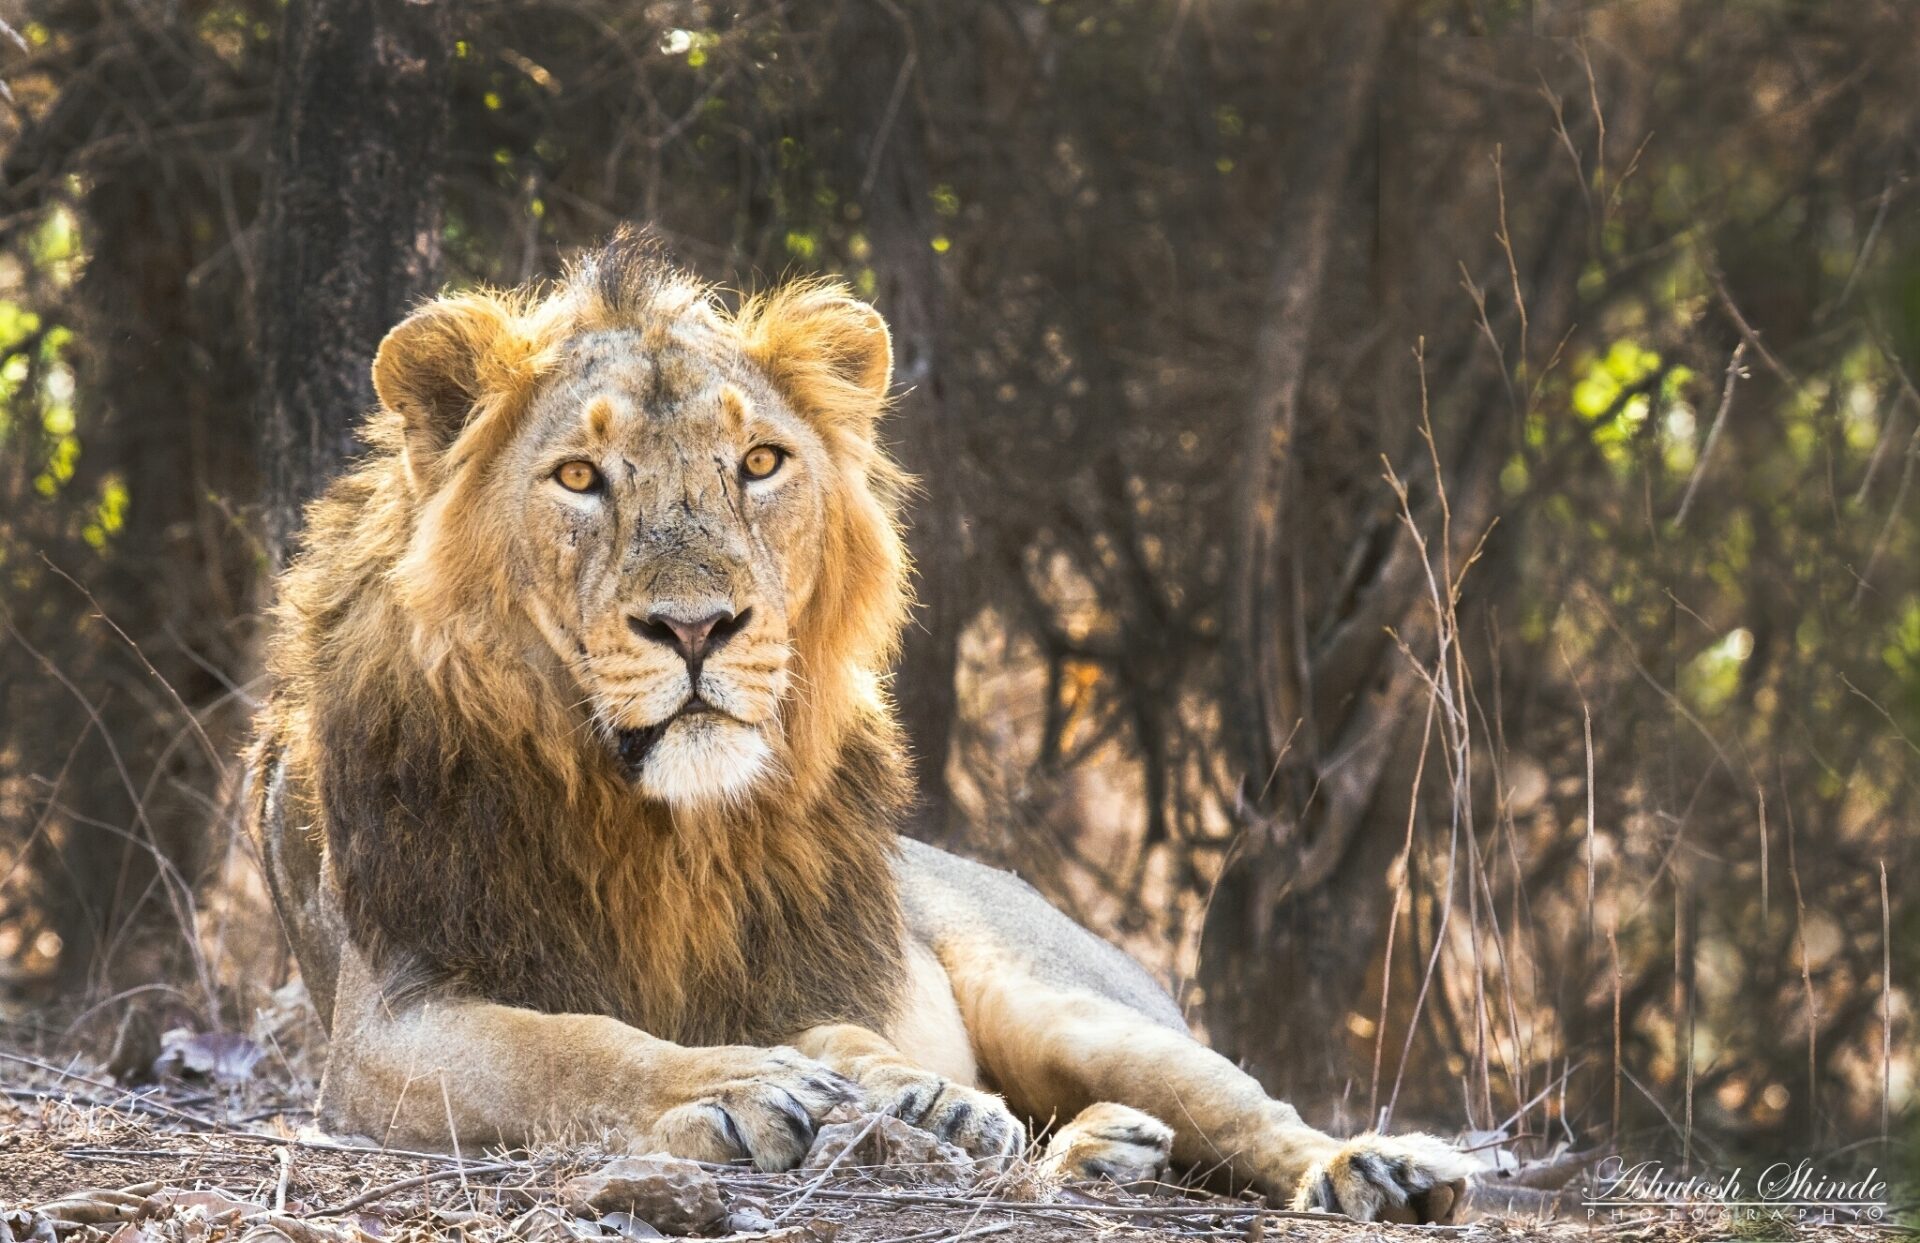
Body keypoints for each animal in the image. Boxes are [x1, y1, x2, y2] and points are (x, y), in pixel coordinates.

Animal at [245, 229, 1476, 1223]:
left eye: (759, 463)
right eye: (580, 477)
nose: (696, 626)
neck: (655, 821)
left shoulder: (797, 969)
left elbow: (832, 1031)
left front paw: (892, 1089)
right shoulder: (385, 1022)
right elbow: (573, 1047)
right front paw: (737, 1084)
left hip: (1078, 1005)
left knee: (1246, 1107)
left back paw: (1370, 1168)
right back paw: (1083, 1146)